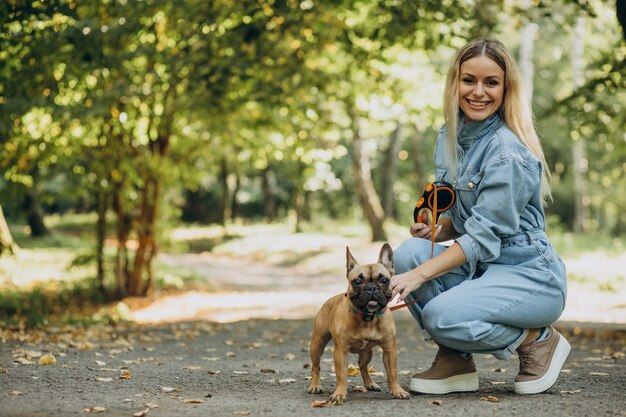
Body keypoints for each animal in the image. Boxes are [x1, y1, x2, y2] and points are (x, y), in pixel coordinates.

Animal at [306, 242, 410, 402]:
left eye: (384, 280)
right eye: (357, 281)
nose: (372, 288)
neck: (368, 318)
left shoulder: (389, 351)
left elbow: (392, 373)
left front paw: (397, 390)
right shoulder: (341, 351)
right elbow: (341, 375)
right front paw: (339, 393)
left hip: (367, 352)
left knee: (363, 366)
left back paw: (370, 383)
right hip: (317, 344)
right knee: (315, 366)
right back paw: (314, 386)